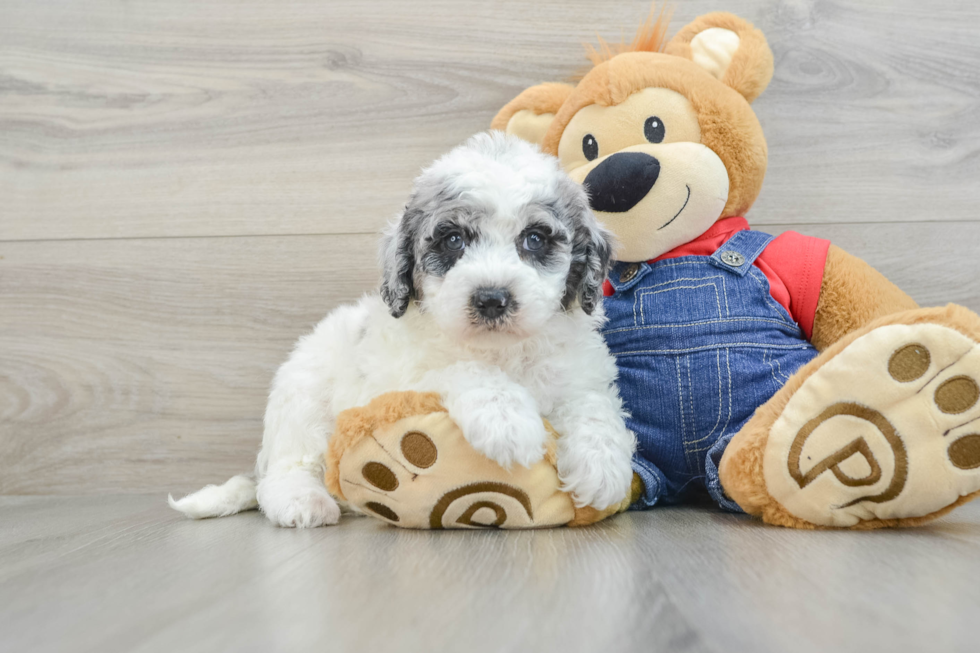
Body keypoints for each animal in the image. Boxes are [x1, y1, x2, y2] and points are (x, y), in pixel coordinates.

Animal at [170, 131, 636, 524]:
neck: (498, 349)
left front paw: (603, 468)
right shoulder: (394, 381)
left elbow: (593, 404)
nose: (491, 298)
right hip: (301, 398)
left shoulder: (579, 371)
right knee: (286, 468)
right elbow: (461, 371)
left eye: (535, 239)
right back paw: (303, 502)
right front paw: (507, 421)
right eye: (453, 240)